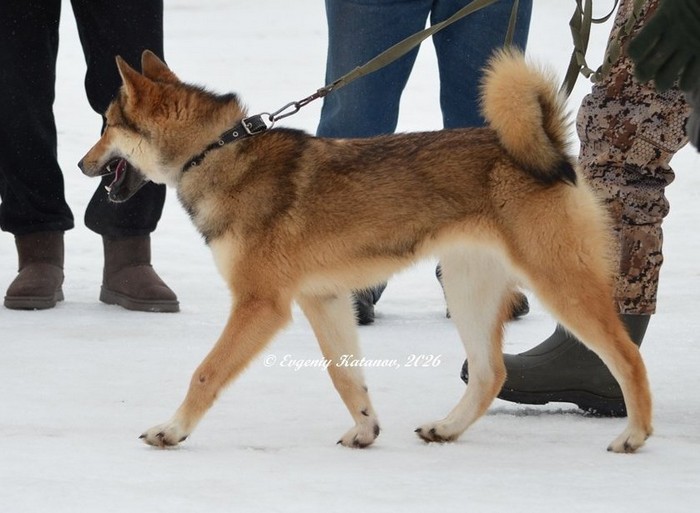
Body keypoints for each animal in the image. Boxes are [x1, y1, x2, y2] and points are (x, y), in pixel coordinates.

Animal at [79, 49, 652, 453]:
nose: (83, 165)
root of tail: (552, 148)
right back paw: (447, 429)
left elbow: (205, 372)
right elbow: (345, 376)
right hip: (467, 288)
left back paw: (634, 435)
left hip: (559, 283)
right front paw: (365, 431)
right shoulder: (324, 299)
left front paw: (171, 430)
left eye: (106, 126)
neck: (215, 153)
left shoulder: (260, 304)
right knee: (491, 374)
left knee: (627, 357)